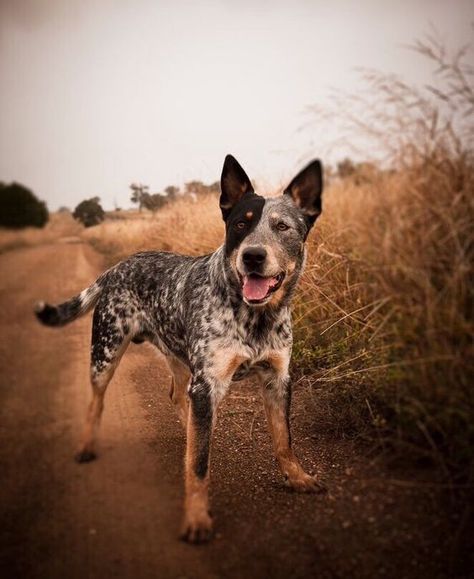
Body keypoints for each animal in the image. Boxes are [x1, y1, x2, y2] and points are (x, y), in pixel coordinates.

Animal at [36, 154, 326, 544]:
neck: (255, 318)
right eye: (240, 224)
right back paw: (86, 445)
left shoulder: (277, 379)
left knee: (176, 396)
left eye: (283, 226)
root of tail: (116, 268)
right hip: (107, 353)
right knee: (96, 402)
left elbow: (284, 440)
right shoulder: (207, 384)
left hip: (178, 357)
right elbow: (199, 466)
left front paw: (297, 477)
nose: (252, 256)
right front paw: (196, 517)